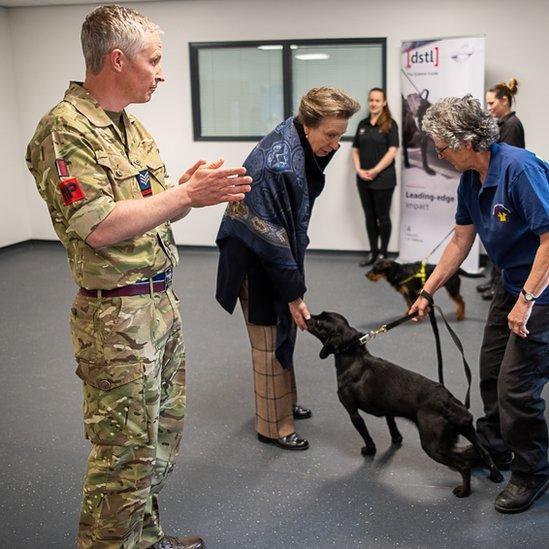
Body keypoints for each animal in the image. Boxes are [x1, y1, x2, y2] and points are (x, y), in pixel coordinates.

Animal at [306, 308, 504, 496]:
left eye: (319, 322)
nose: (306, 316)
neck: (353, 356)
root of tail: (448, 403)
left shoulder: (353, 412)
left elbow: (366, 434)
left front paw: (369, 450)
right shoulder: (387, 408)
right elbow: (392, 424)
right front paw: (396, 439)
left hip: (433, 446)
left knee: (464, 466)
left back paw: (464, 491)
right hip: (469, 432)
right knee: (485, 452)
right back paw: (495, 476)